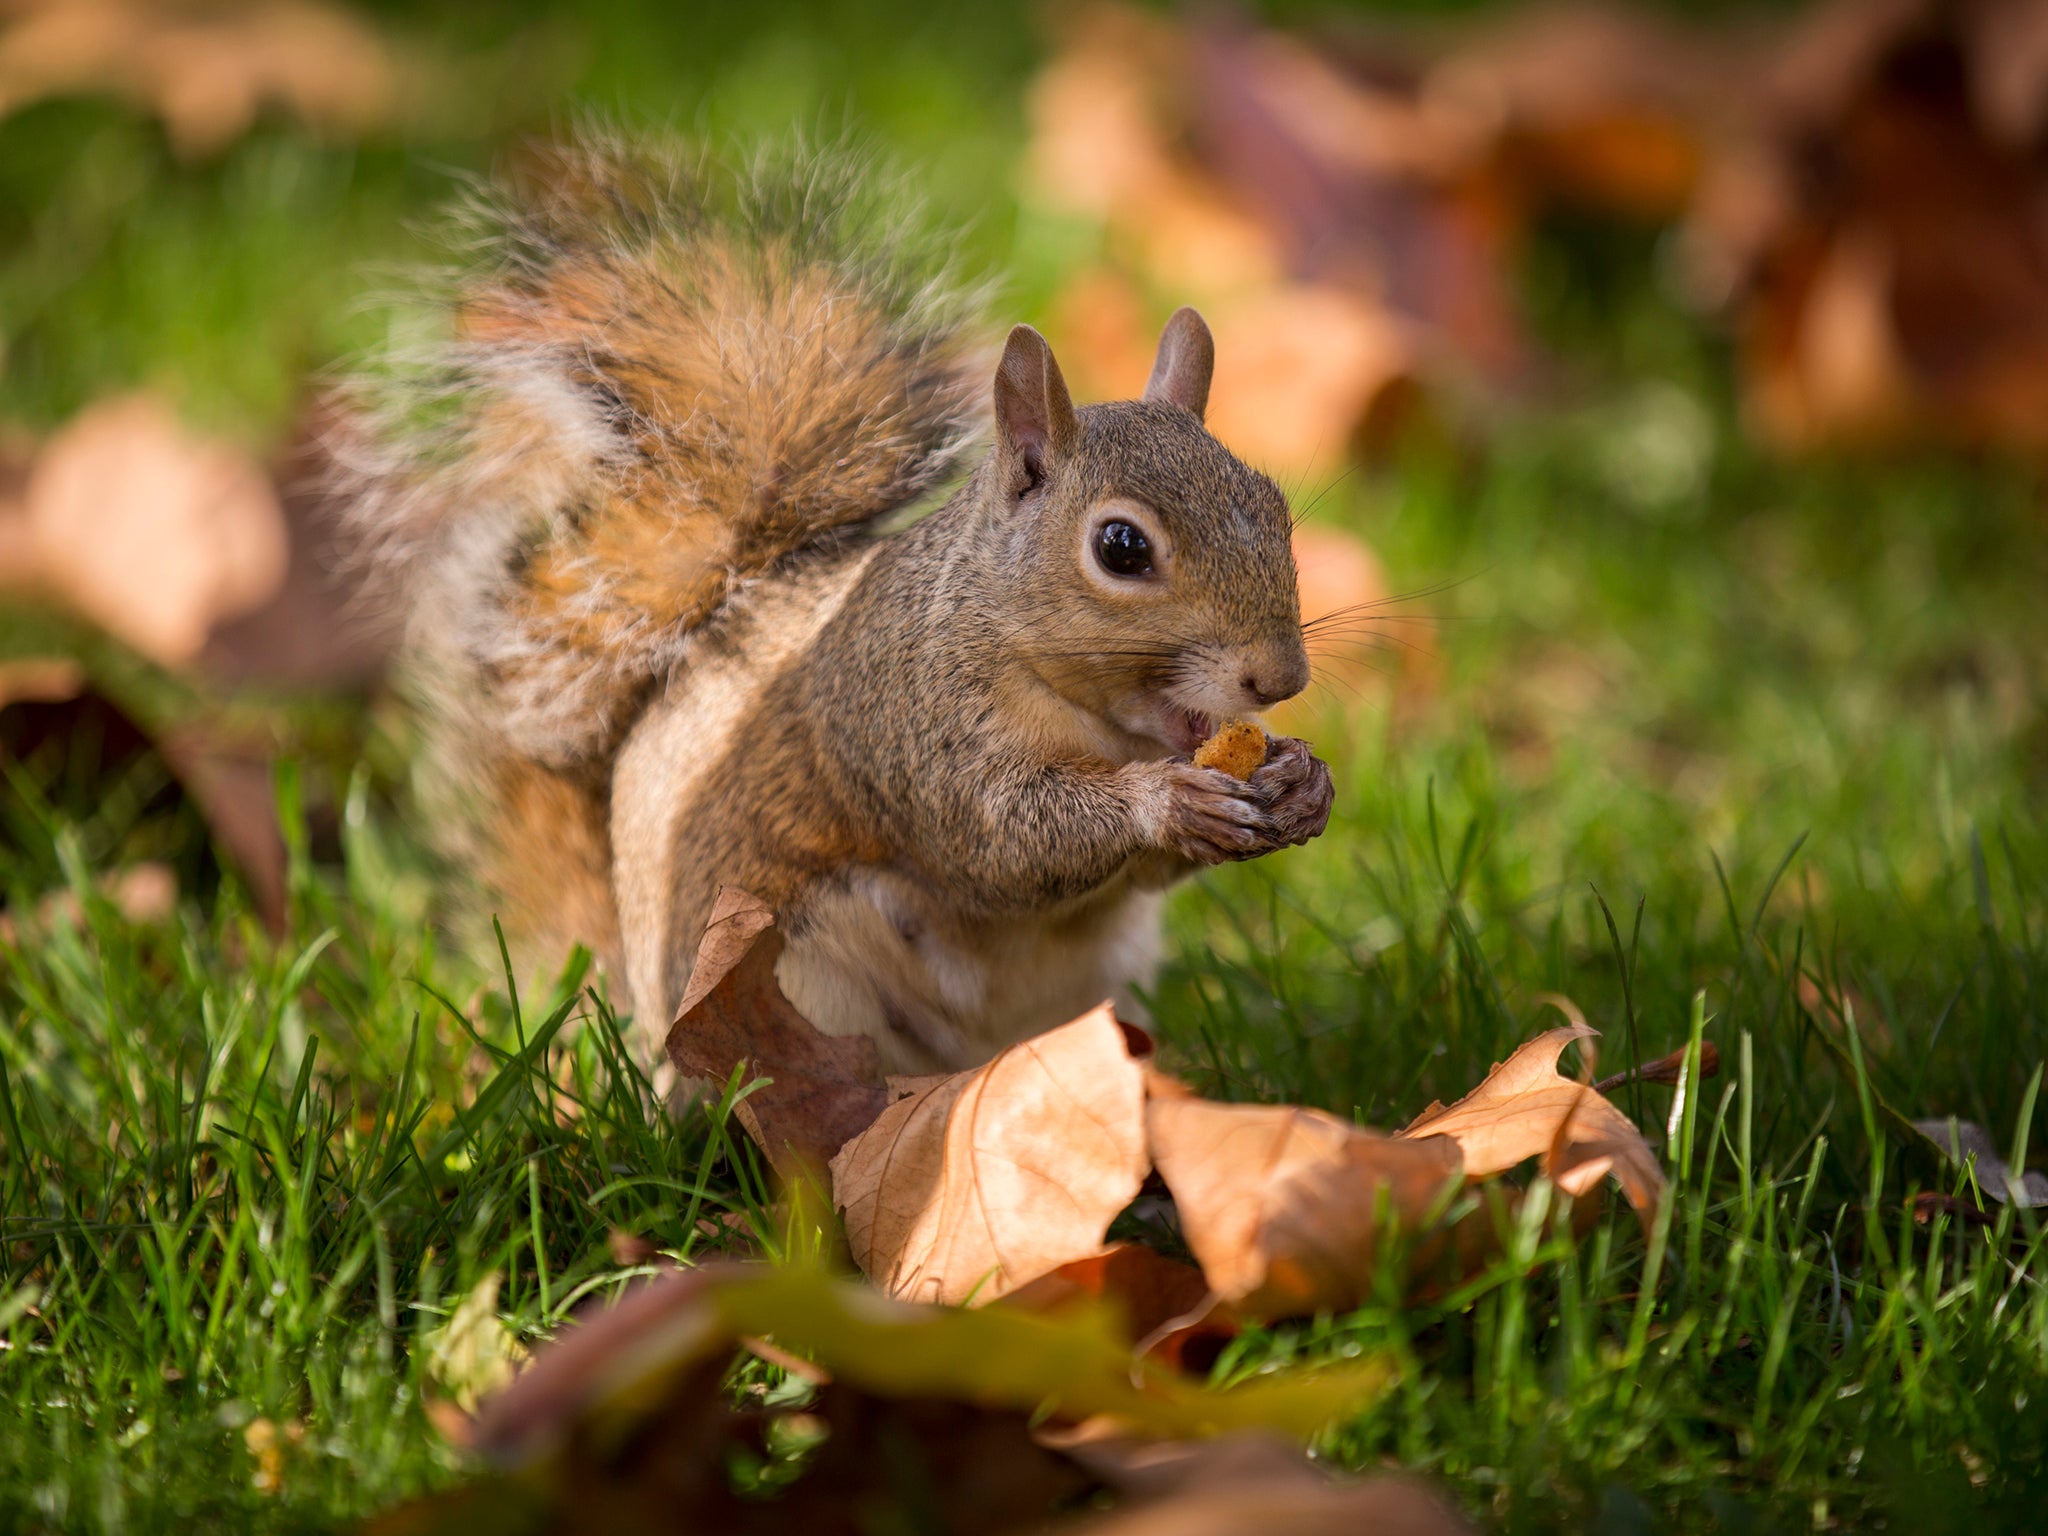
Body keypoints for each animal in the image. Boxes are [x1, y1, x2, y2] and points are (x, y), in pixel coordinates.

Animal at [344, 135, 1335, 1081]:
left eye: (1276, 506)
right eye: (1121, 548)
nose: (1279, 677)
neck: (1094, 714)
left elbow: (1142, 874)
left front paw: (1300, 781)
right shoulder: (909, 720)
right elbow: (1001, 839)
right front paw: (1166, 798)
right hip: (795, 977)